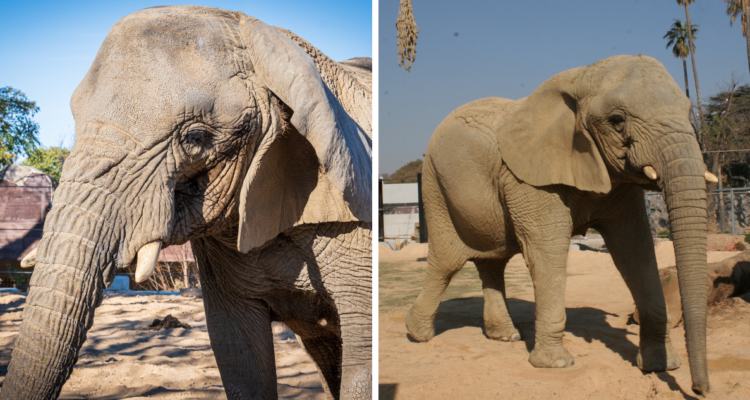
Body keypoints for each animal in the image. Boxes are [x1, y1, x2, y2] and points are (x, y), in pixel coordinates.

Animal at [405, 55, 714, 396]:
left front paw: (661, 365)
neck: (579, 78)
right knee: (447, 262)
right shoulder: (528, 178)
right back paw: (417, 333)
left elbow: (635, 250)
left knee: (492, 262)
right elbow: (548, 250)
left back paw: (505, 336)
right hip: (434, 184)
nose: (700, 390)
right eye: (617, 120)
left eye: (687, 110)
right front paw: (556, 364)